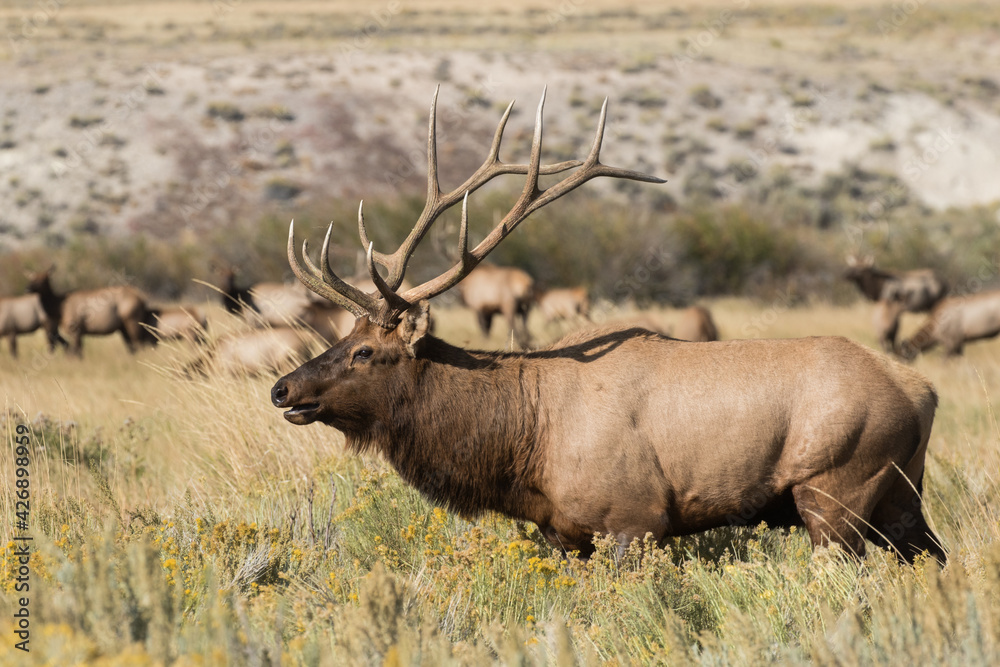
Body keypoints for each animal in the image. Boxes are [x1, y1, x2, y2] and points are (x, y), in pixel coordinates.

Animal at [270, 88, 940, 564]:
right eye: (340, 336)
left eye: (364, 351)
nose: (282, 388)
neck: (523, 442)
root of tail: (924, 392)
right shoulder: (562, 534)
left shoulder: (633, 519)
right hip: (900, 500)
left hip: (836, 492)